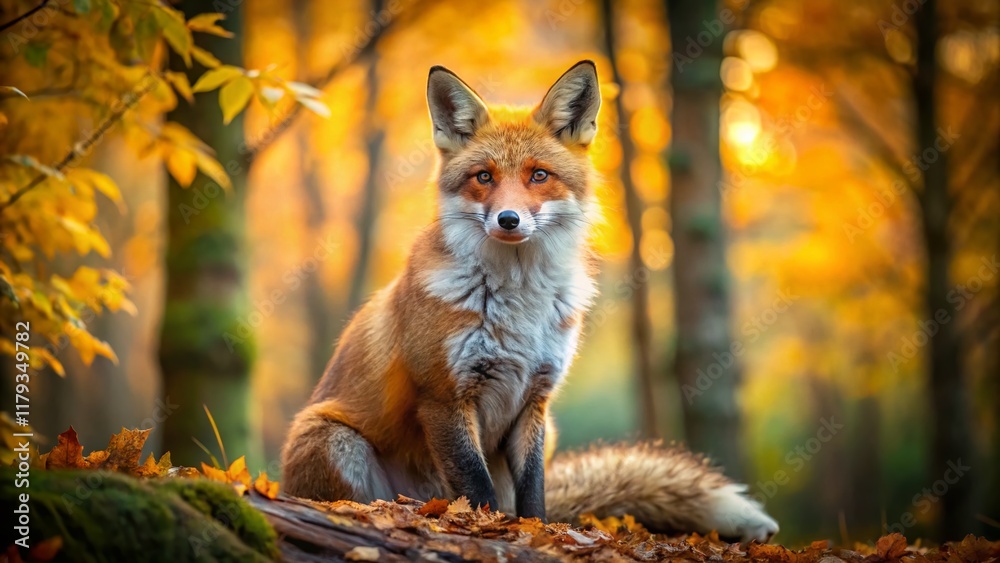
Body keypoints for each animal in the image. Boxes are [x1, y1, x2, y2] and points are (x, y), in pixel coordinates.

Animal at [281, 61, 779, 542]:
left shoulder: (537, 397)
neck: (520, 303)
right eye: (484, 177)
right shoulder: (444, 396)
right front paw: (485, 528)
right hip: (334, 440)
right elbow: (477, 489)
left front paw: (536, 533)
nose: (508, 219)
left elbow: (534, 494)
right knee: (368, 502)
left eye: (538, 175)